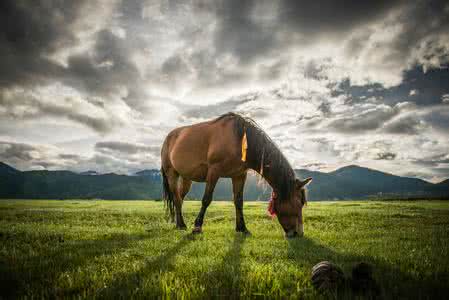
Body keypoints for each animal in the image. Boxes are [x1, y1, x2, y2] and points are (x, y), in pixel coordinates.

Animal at [161, 111, 312, 238]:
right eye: (298, 203)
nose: (299, 233)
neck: (238, 138)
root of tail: (169, 137)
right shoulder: (214, 171)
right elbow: (206, 199)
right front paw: (197, 227)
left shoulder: (239, 175)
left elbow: (239, 201)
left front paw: (242, 228)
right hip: (171, 174)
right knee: (176, 198)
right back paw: (181, 225)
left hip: (187, 178)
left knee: (180, 198)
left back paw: (178, 223)